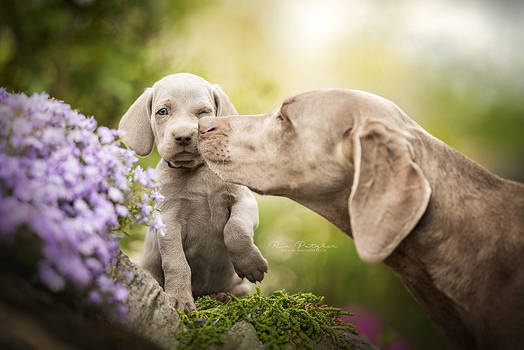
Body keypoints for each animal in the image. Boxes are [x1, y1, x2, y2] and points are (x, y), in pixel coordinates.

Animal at [117, 73, 266, 308]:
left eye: (203, 113)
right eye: (162, 111)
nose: (184, 136)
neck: (197, 172)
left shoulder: (244, 201)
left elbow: (235, 230)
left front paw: (251, 265)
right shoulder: (168, 220)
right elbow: (176, 262)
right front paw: (179, 298)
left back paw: (220, 296)